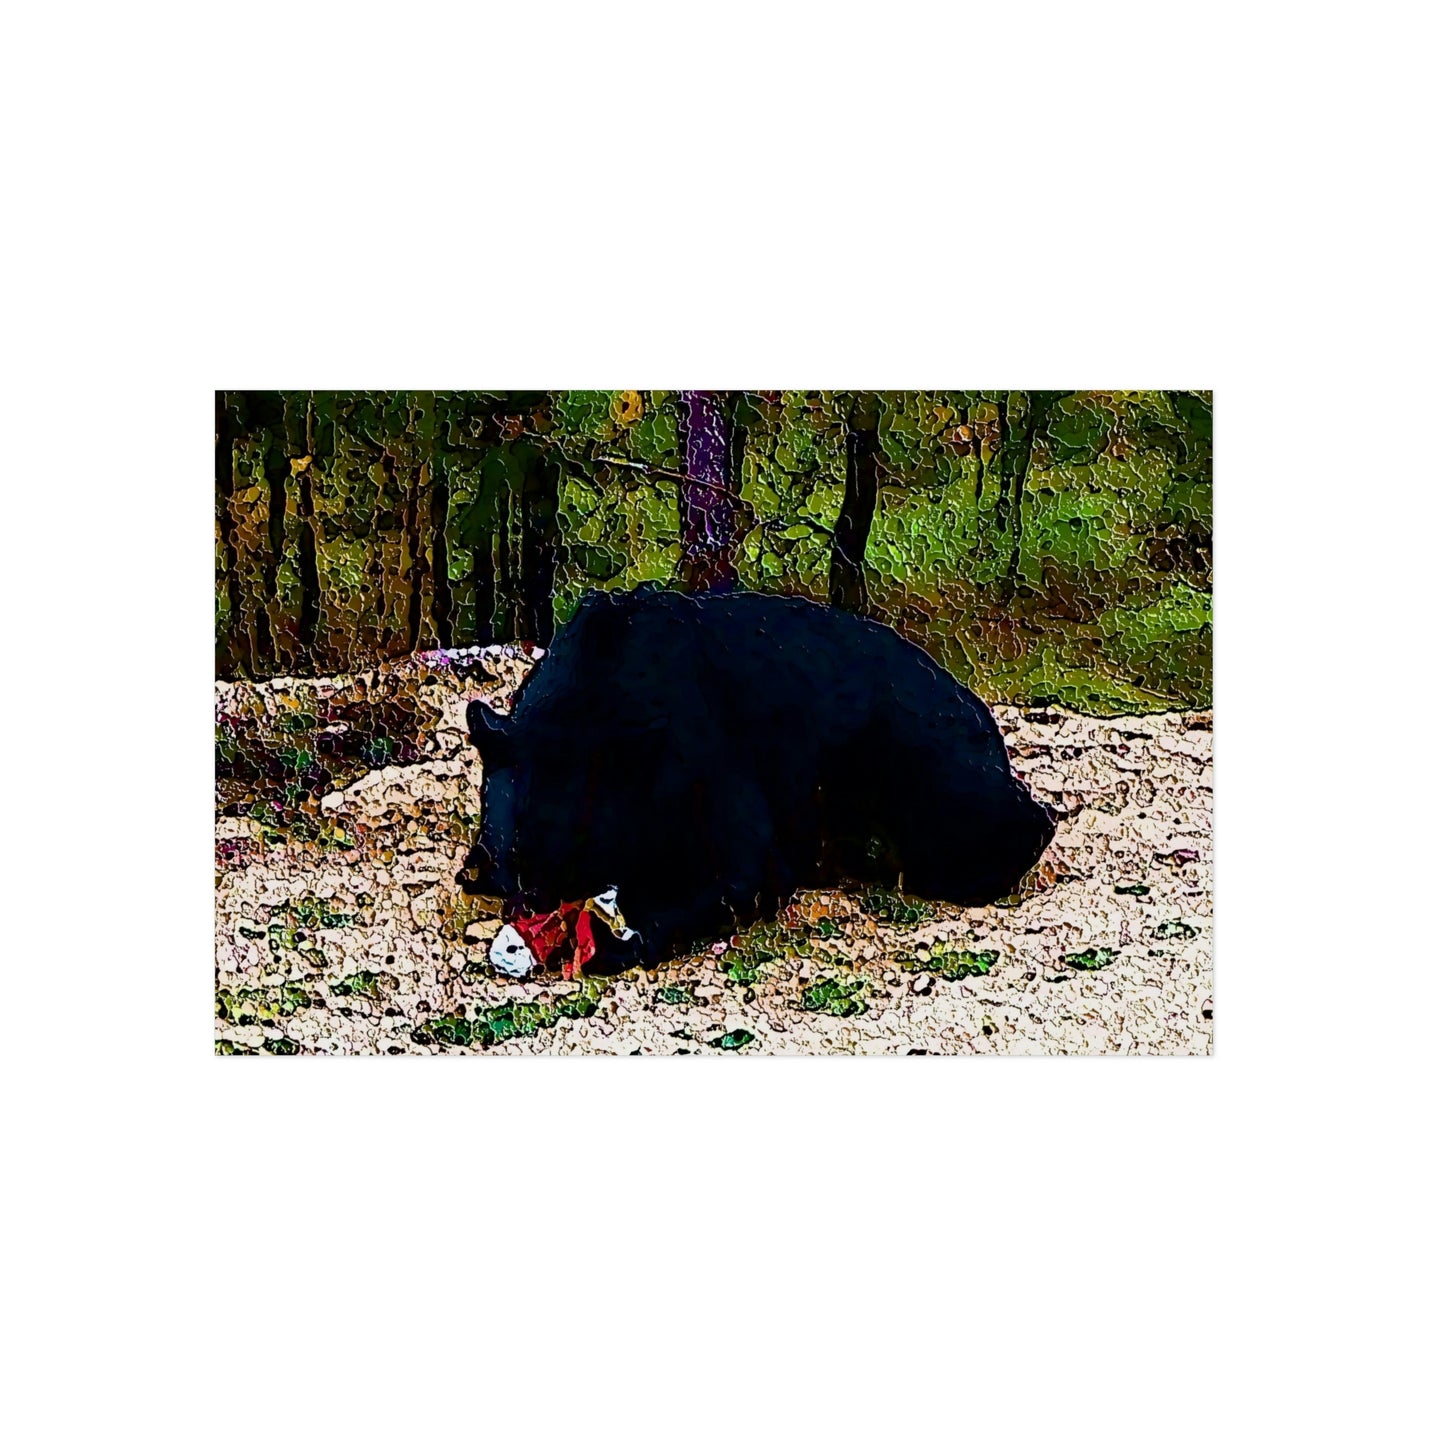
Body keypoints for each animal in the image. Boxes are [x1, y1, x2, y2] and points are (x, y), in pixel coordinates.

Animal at [457, 585, 1055, 968]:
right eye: (517, 862)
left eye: (575, 860)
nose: (530, 911)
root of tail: (976, 704)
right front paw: (478, 870)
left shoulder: (704, 754)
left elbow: (741, 874)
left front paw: (618, 940)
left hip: (912, 753)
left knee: (989, 823)